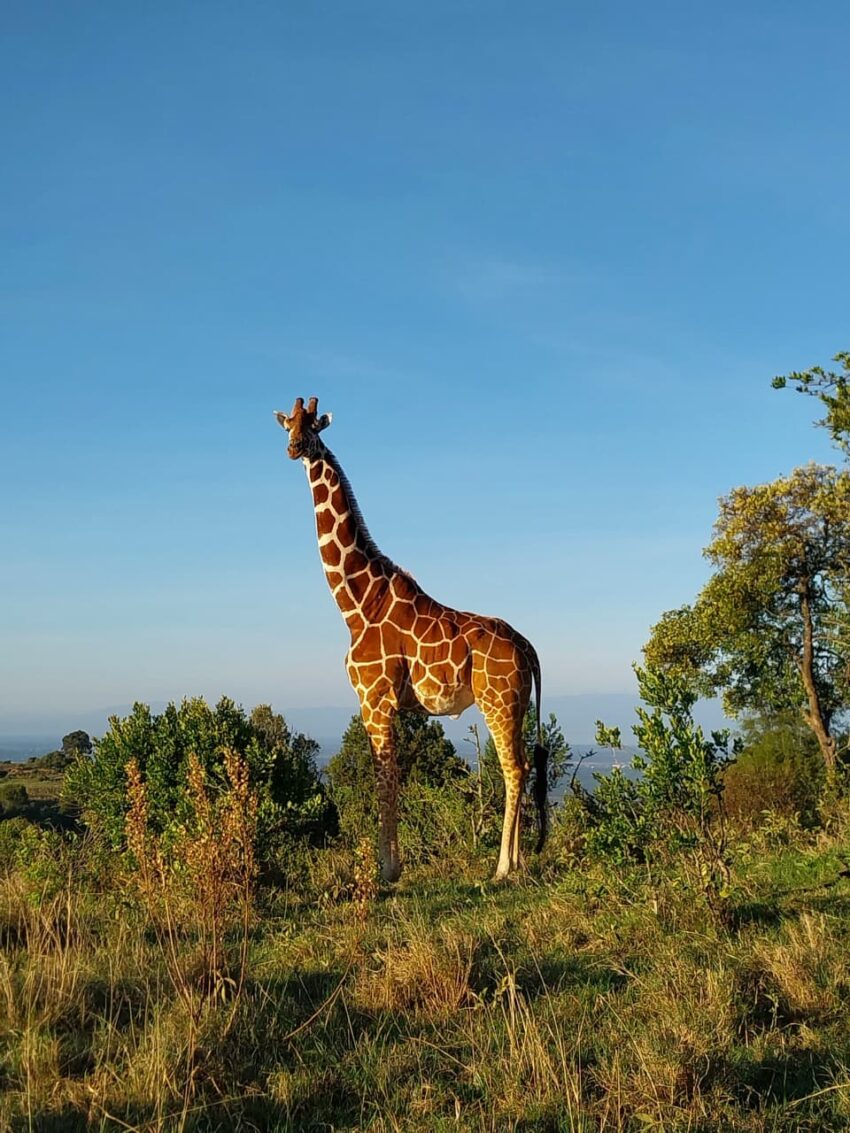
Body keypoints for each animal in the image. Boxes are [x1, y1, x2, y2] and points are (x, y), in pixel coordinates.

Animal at [275, 396, 548, 881]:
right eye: (288, 425)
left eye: (312, 428)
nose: (292, 449)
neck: (357, 604)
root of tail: (529, 648)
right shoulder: (375, 702)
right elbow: (387, 776)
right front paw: (391, 865)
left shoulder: (376, 698)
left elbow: (386, 777)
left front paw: (388, 870)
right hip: (514, 704)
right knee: (520, 766)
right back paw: (516, 861)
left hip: (497, 701)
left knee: (514, 769)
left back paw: (501, 867)